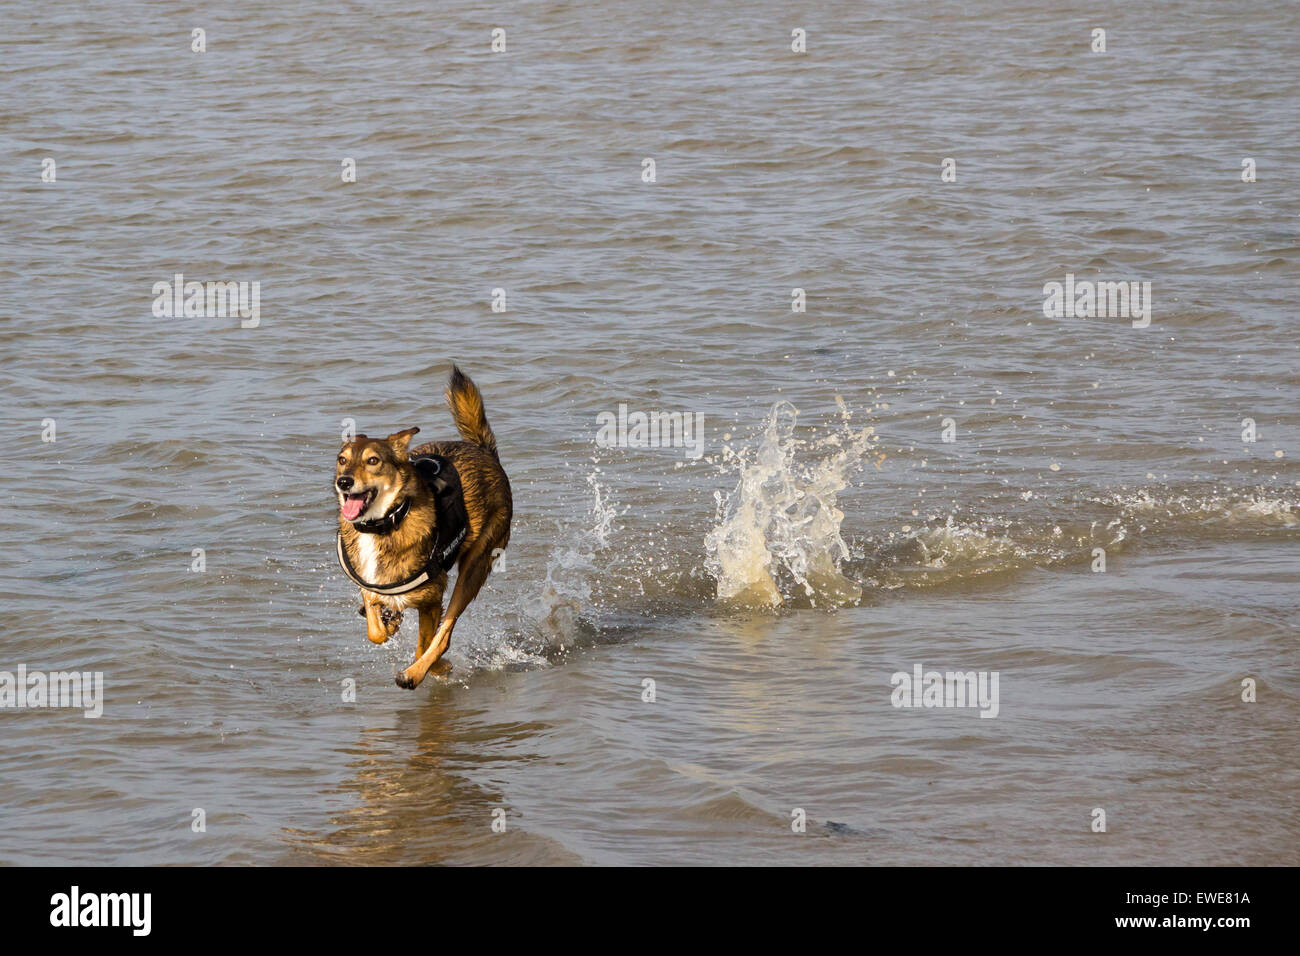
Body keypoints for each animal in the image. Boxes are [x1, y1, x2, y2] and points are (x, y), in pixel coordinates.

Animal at [332, 364, 509, 686]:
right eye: (342, 460)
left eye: (373, 460)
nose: (344, 482)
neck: (385, 524)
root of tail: (484, 452)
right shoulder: (368, 580)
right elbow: (375, 626)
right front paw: (387, 621)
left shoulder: (431, 597)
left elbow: (428, 642)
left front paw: (433, 667)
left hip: (476, 565)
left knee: (445, 633)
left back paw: (416, 673)